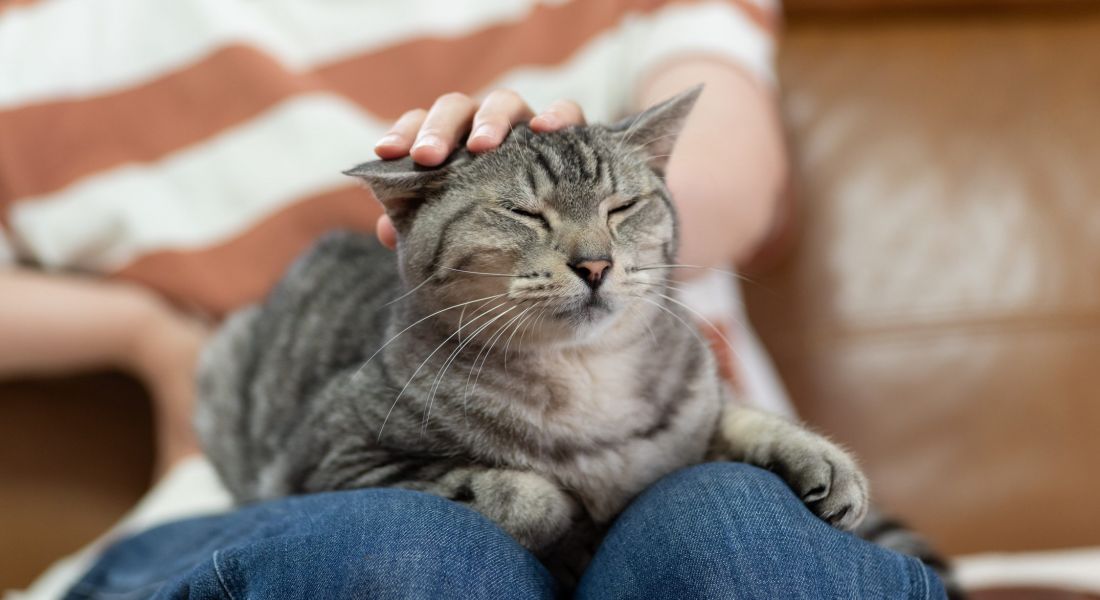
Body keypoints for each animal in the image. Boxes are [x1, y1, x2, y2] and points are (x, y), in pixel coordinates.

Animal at [195, 86, 866, 581]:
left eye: (621, 207)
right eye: (523, 213)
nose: (594, 264)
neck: (586, 376)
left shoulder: (693, 409)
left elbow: (737, 419)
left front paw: (818, 457)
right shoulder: (335, 462)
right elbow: (532, 495)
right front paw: (575, 528)